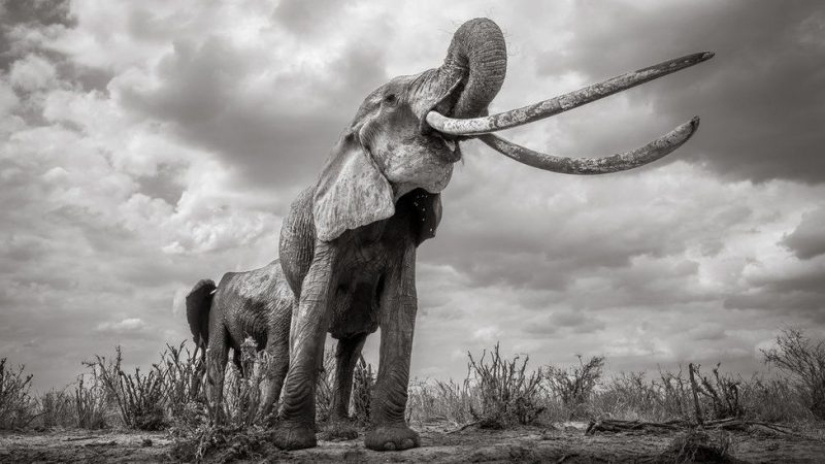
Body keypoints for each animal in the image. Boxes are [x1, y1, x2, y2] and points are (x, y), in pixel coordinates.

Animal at [186, 259, 294, 420]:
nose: (193, 401)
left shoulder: (217, 312)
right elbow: (240, 362)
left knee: (276, 356)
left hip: (281, 312)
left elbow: (218, 355)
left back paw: (262, 418)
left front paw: (218, 418)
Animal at [229, 17, 711, 451]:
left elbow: (402, 305)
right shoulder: (326, 227)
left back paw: (342, 432)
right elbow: (315, 303)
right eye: (391, 98)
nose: (705, 56)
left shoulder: (406, 229)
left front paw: (394, 444)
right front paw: (291, 443)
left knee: (351, 346)